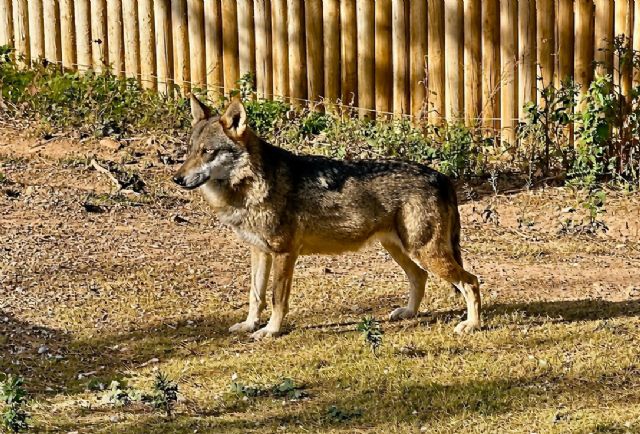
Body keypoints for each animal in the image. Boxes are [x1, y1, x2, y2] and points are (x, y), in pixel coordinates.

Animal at [173, 96, 481, 339]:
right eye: (189, 151)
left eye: (208, 152)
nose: (177, 178)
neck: (250, 186)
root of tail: (442, 177)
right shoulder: (259, 252)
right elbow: (255, 295)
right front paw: (249, 326)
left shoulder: (285, 253)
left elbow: (276, 298)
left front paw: (271, 331)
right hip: (399, 250)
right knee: (420, 277)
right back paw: (408, 312)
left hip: (425, 253)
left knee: (471, 281)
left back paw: (472, 325)